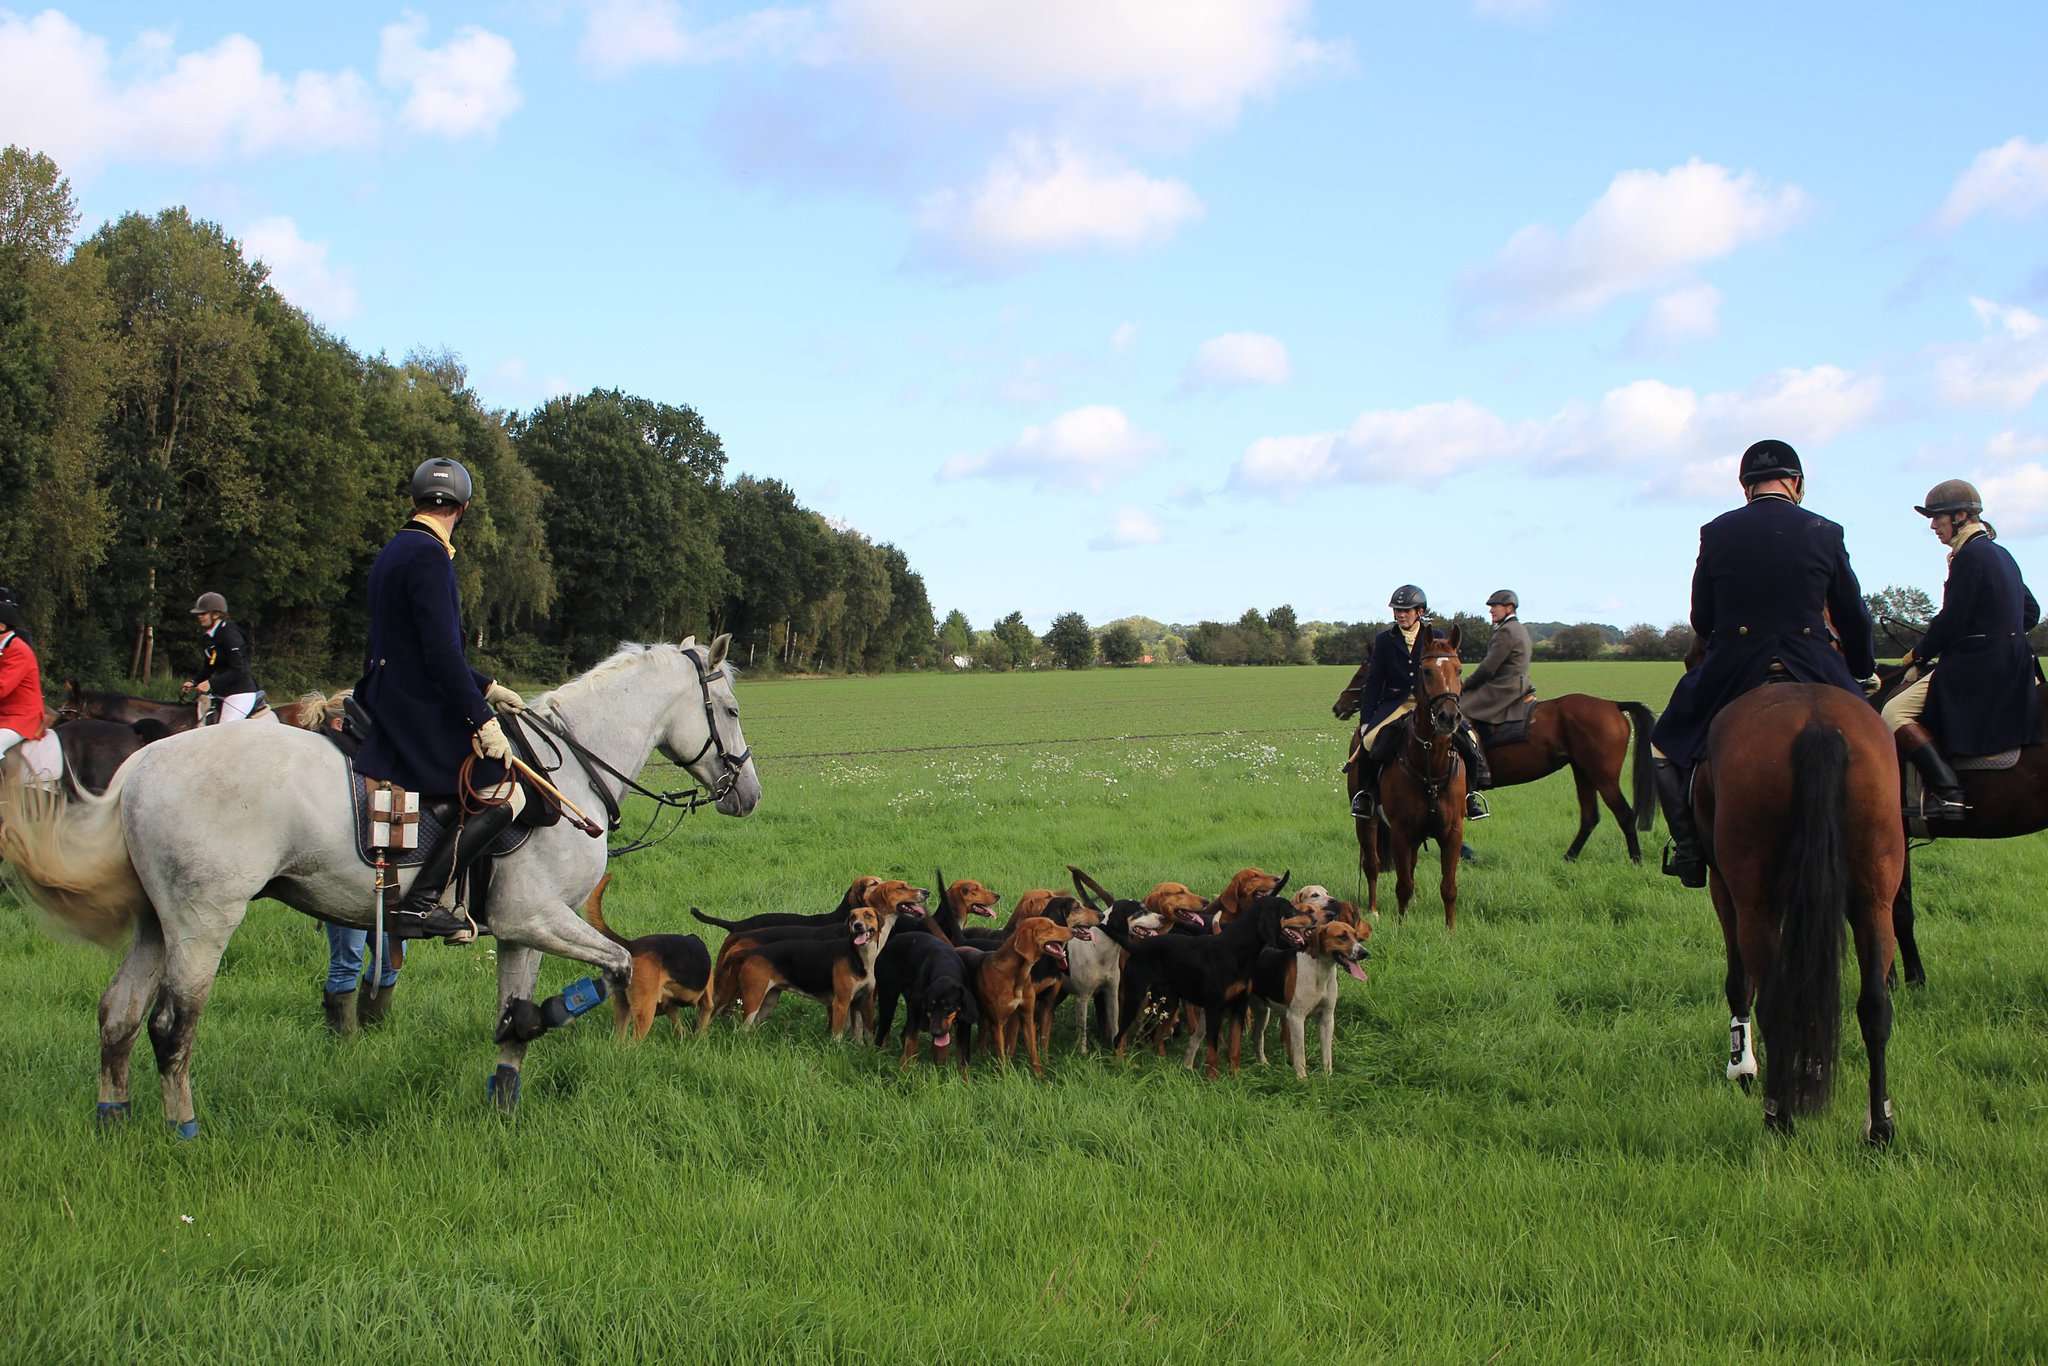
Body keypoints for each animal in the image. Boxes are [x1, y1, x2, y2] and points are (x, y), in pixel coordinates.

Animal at [0, 634, 761, 1138]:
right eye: (728, 708)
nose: (747, 793)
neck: (570, 767)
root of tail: (142, 764)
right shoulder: (539, 917)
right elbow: (619, 969)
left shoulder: (520, 930)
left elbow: (514, 1021)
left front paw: (504, 1103)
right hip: (202, 921)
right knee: (171, 1026)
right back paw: (183, 1132)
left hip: (156, 924)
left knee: (118, 1015)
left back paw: (114, 1119)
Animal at [1343, 630, 1474, 929]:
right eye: (1426, 671)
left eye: (1459, 669)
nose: (1448, 717)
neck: (1430, 762)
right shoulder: (1401, 831)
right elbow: (1402, 884)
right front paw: (1401, 927)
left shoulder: (1452, 832)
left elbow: (1449, 887)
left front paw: (1450, 931)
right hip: (1367, 822)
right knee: (1372, 864)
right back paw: (1374, 908)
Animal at [1474, 700, 1662, 860]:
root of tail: (1613, 704)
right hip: (1583, 773)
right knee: (1590, 817)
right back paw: (1568, 858)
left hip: (1604, 779)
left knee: (1625, 815)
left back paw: (1636, 860)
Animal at [1695, 684, 1900, 1146]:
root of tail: (1817, 723)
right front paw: (1811, 1066)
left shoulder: (1724, 887)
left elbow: (1740, 981)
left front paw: (1742, 1065)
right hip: (1875, 900)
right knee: (1875, 1005)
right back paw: (1879, 1126)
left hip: (1754, 902)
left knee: (1774, 1002)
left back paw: (1778, 1115)